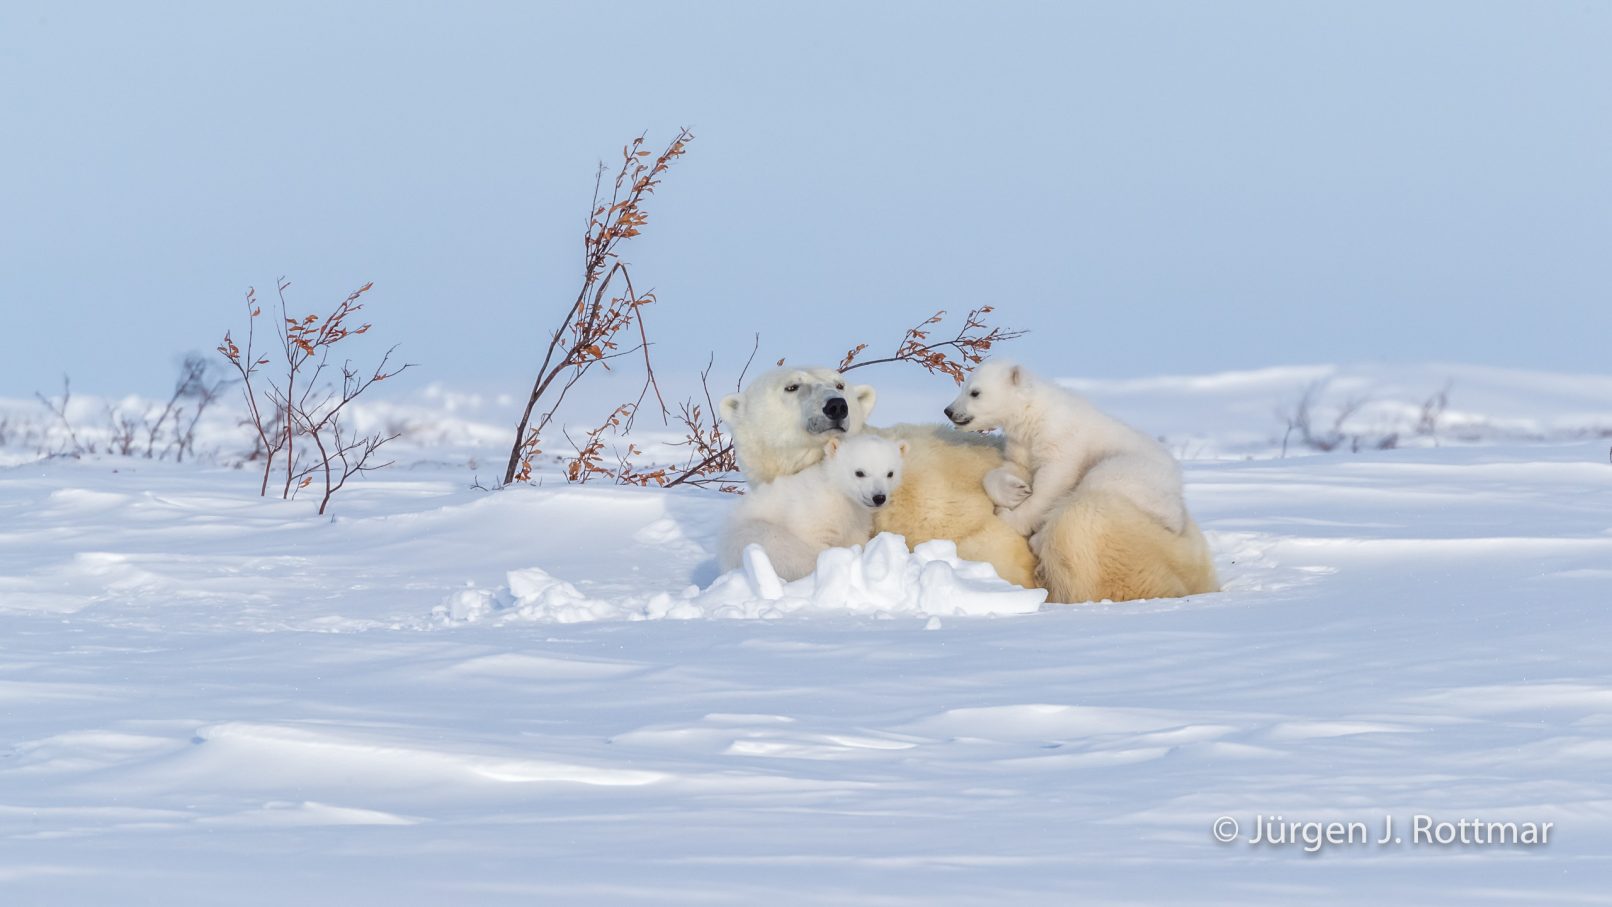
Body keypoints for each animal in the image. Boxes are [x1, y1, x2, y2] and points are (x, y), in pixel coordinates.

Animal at [719, 433, 909, 582]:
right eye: (860, 472)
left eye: (890, 473)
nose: (879, 497)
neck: (838, 493)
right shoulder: (813, 512)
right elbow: (814, 539)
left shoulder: (856, 519)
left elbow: (855, 538)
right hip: (750, 537)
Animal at [944, 359, 1219, 603]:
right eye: (964, 386)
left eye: (975, 392)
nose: (949, 411)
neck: (1034, 412)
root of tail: (1177, 509)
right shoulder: (1022, 444)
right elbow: (1012, 468)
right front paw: (1016, 491)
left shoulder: (1060, 436)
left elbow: (1054, 479)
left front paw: (1010, 518)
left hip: (1131, 472)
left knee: (1094, 484)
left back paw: (1039, 538)